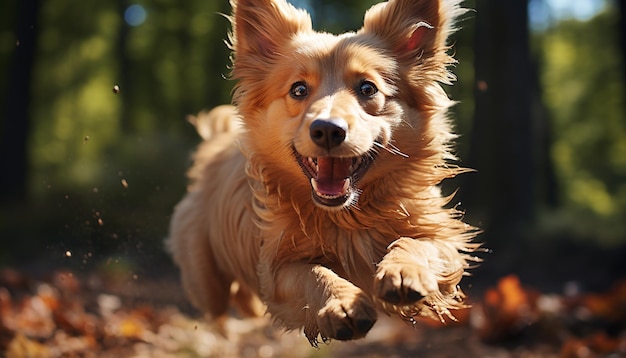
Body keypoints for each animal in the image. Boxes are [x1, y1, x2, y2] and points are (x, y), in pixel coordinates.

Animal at [166, 0, 478, 346]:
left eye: (367, 88)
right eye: (299, 89)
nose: (328, 129)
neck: (347, 218)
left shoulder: (444, 239)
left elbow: (417, 243)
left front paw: (404, 271)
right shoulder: (277, 267)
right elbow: (311, 275)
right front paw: (341, 303)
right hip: (204, 277)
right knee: (218, 308)